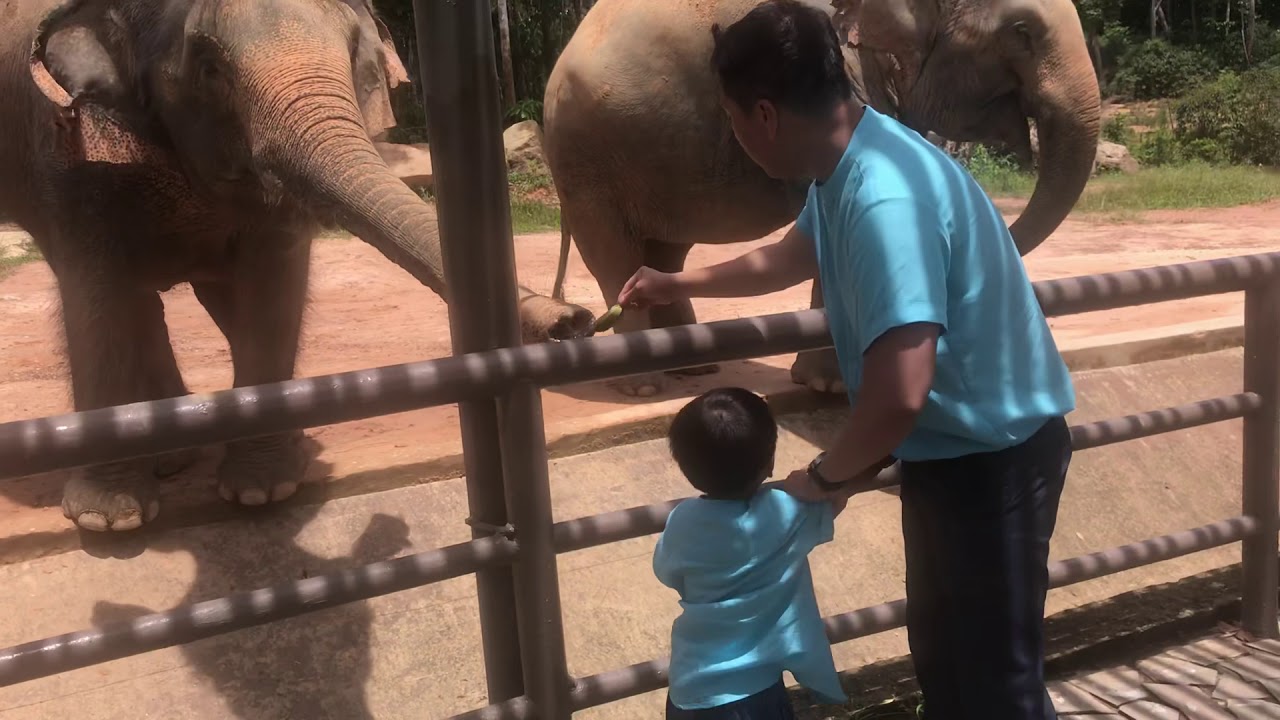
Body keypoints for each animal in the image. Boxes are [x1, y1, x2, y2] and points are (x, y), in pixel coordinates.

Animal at [0, 0, 596, 531]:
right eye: (209, 68)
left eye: (355, 54)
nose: (573, 319)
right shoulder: (64, 142)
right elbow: (94, 292)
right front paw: (108, 520)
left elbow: (273, 280)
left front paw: (262, 489)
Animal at [542, 0, 1102, 397]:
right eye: (1022, 31)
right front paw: (829, 385)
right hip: (585, 156)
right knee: (613, 252)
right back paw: (642, 384)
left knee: (665, 251)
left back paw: (694, 368)